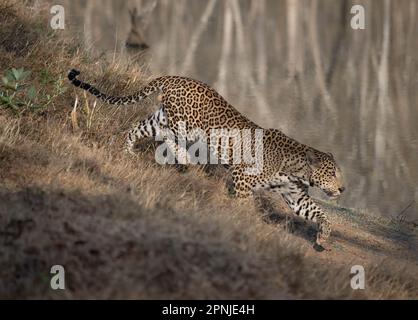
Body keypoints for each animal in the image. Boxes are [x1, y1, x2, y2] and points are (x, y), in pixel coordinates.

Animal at [67, 69, 344, 250]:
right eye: (332, 174)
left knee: (139, 128)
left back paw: (128, 152)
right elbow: (244, 202)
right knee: (167, 136)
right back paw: (185, 159)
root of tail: (174, 77)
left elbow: (321, 214)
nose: (343, 189)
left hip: (161, 117)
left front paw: (323, 238)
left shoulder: (295, 196)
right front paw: (243, 222)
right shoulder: (243, 176)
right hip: (183, 124)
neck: (297, 170)